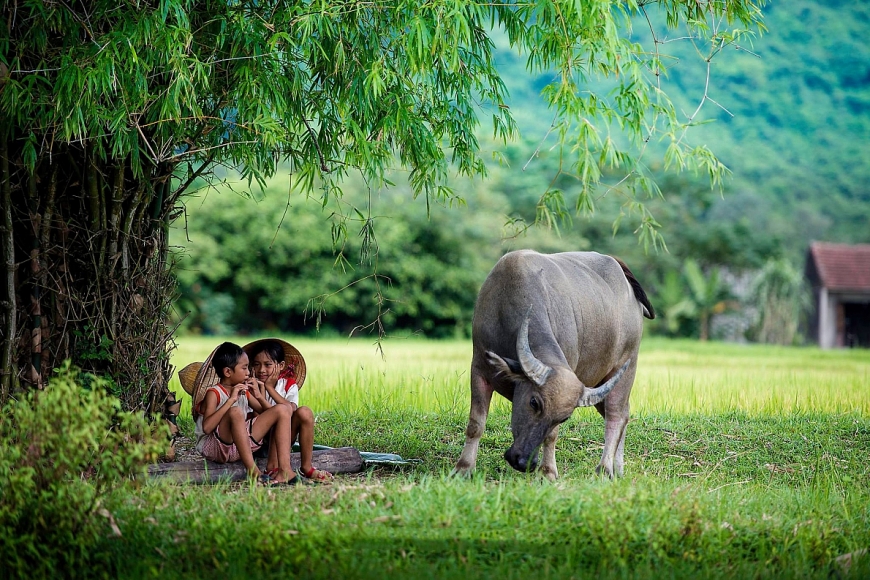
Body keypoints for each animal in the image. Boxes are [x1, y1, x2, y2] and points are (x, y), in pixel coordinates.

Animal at [456, 250, 656, 480]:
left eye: (564, 418)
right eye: (534, 402)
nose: (523, 462)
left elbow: (551, 436)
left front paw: (548, 472)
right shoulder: (479, 369)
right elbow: (475, 424)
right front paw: (463, 468)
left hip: (626, 368)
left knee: (616, 417)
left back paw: (604, 469)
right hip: (601, 384)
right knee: (623, 414)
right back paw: (618, 468)